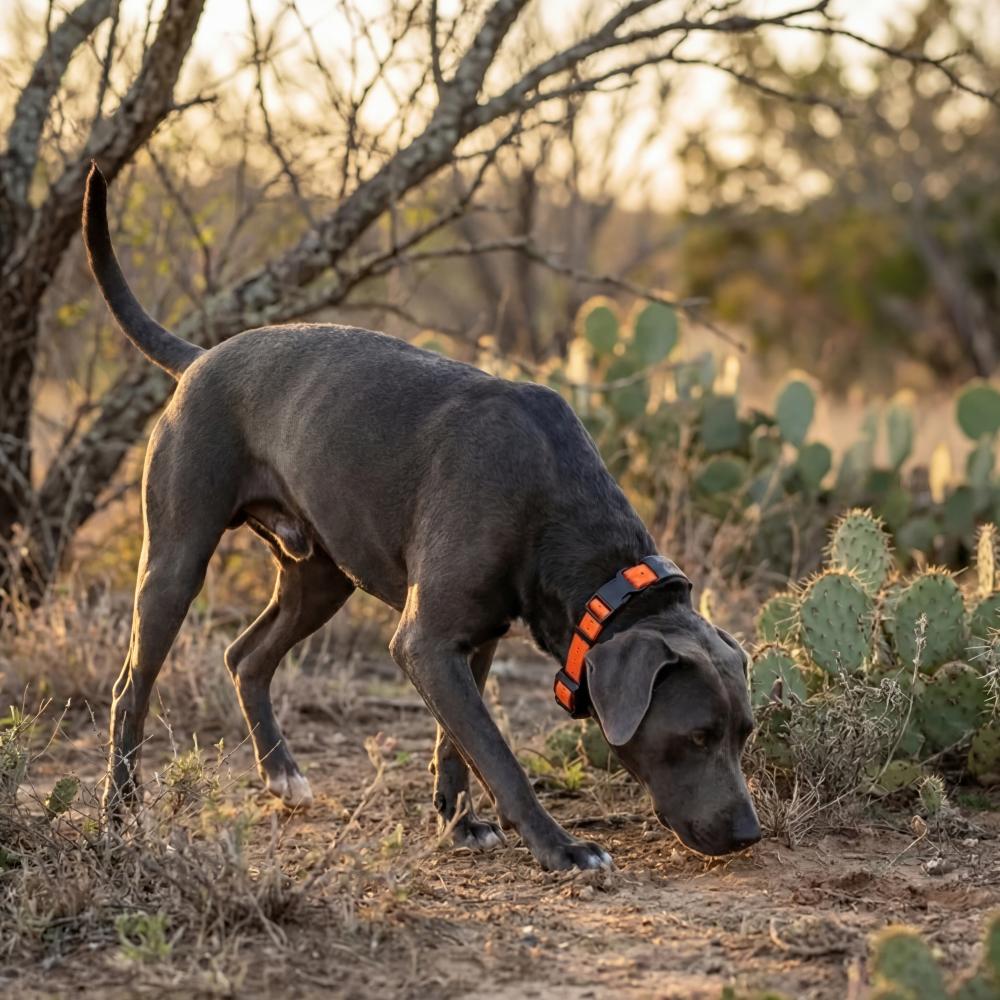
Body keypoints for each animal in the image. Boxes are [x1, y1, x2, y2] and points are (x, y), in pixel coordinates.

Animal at [83, 163, 760, 870]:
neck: (557, 508)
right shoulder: (428, 642)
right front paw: (560, 847)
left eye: (744, 733)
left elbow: (455, 745)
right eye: (698, 735)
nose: (749, 834)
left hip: (321, 578)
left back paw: (282, 776)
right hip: (176, 560)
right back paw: (119, 814)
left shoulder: (472, 640)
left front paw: (460, 822)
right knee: (130, 688)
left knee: (246, 657)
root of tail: (199, 358)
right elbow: (497, 755)